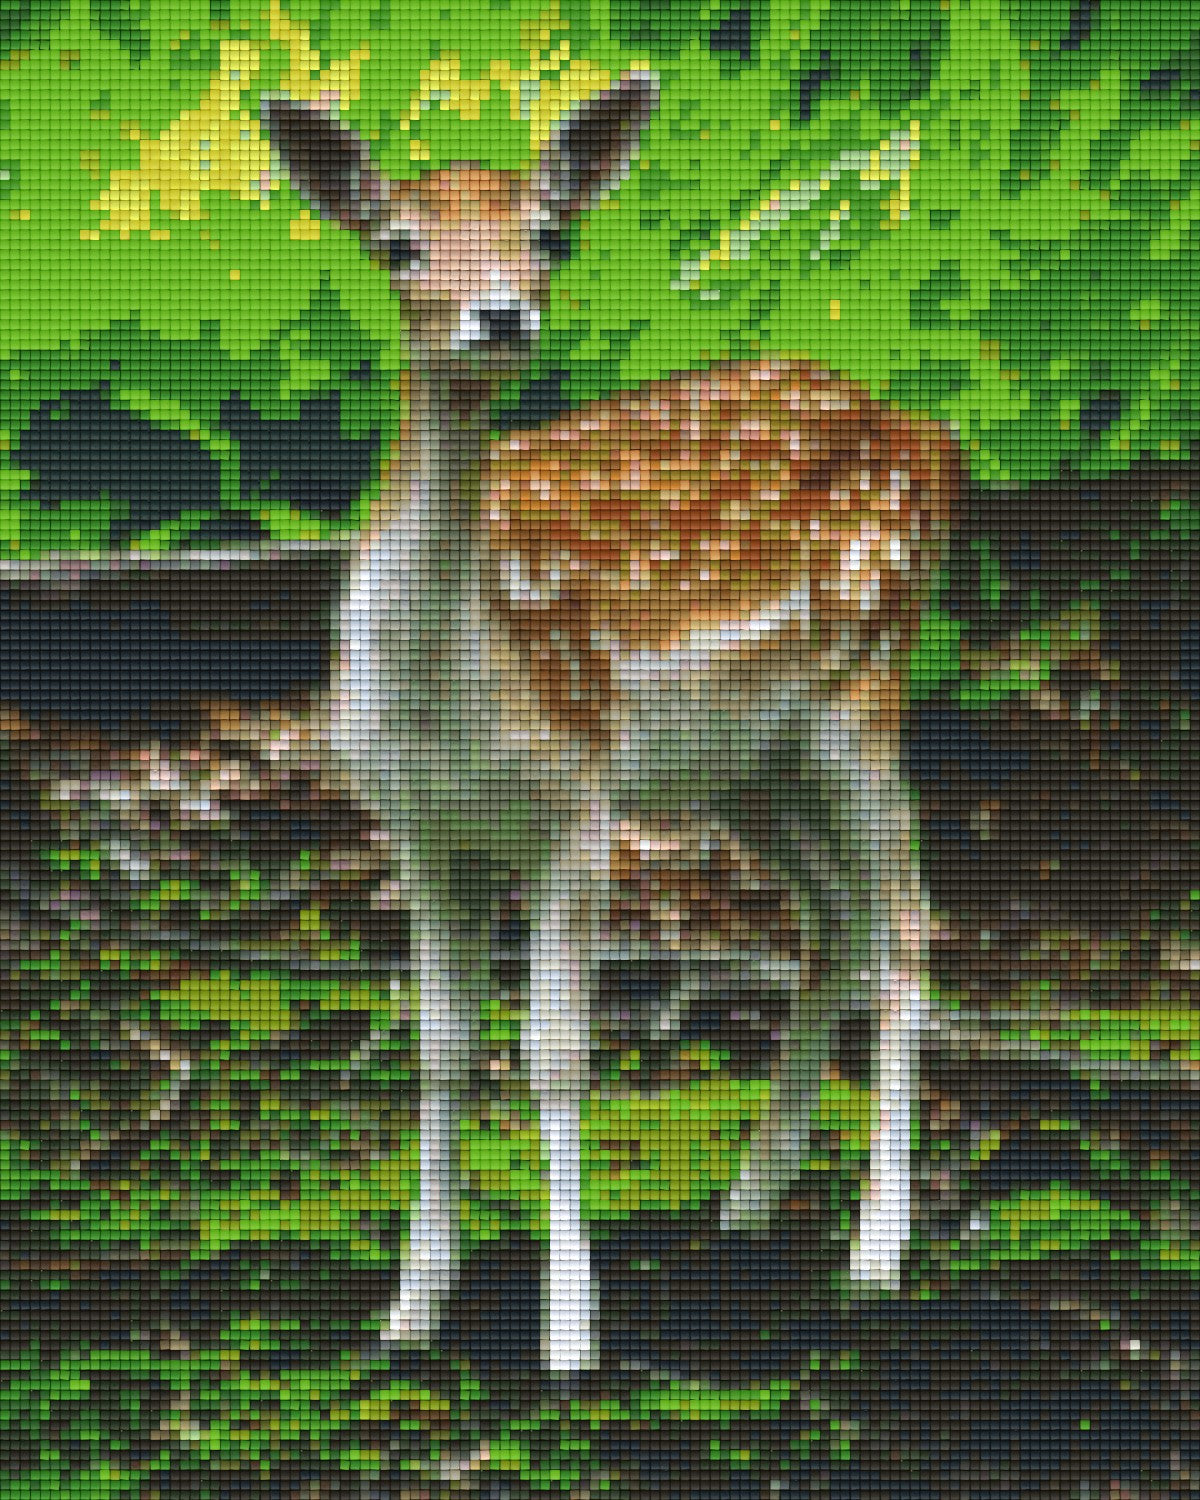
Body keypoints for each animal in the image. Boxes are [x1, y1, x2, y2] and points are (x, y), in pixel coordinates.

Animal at [261, 71, 959, 1375]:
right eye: (398, 245)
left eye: (548, 235)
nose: (499, 317)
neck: (445, 687)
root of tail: (929, 438)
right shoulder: (418, 828)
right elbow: (439, 1047)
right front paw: (411, 1310)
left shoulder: (578, 806)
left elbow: (555, 1054)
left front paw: (570, 1332)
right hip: (748, 762)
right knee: (832, 918)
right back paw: (749, 1199)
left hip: (862, 687)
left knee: (906, 921)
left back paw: (875, 1254)